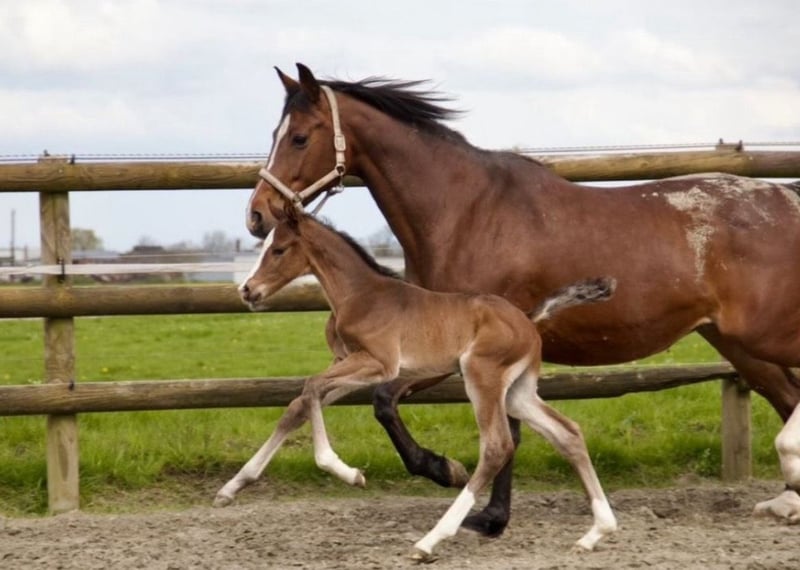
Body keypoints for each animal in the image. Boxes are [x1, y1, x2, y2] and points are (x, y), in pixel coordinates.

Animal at [214, 203, 618, 560]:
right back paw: (596, 532)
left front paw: (347, 472)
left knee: (497, 446)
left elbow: (311, 387)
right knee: (567, 433)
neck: (361, 295)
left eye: (279, 250)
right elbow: (299, 404)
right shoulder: (350, 364)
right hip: (517, 392)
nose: (247, 290)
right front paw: (232, 487)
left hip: (482, 376)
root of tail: (528, 319)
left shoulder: (379, 364)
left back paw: (430, 541)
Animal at [240, 63, 800, 534]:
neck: (467, 212)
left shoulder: (469, 354)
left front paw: (475, 501)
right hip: (738, 345)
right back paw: (787, 498)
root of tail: (786, 198)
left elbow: (486, 428)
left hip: (761, 335)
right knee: (787, 395)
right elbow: (383, 404)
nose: (257, 215)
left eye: (299, 137)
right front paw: (462, 486)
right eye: (273, 135)